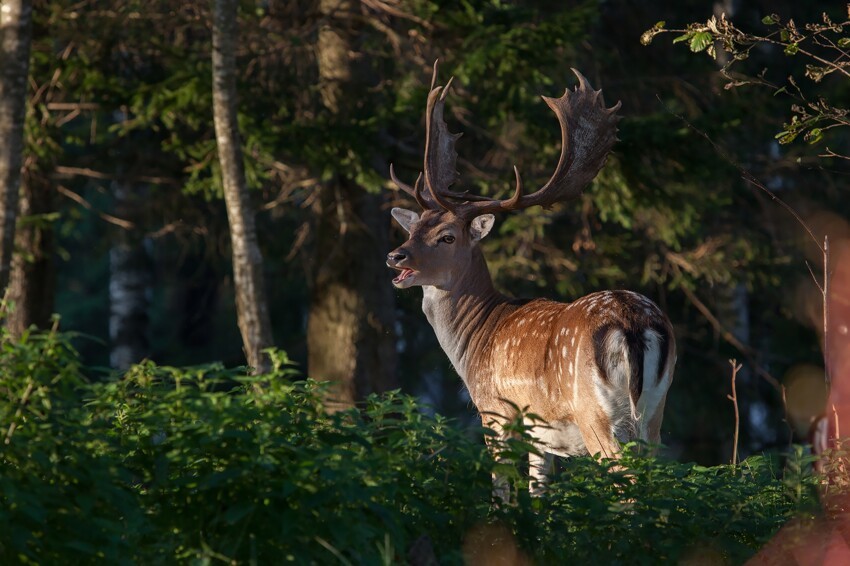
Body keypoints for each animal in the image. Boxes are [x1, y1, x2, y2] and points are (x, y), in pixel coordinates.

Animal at [386, 62, 676, 496]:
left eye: (447, 236)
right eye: (414, 227)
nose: (395, 256)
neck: (476, 338)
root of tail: (632, 322)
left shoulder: (495, 412)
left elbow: (501, 490)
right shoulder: (543, 438)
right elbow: (538, 494)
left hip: (595, 414)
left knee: (623, 482)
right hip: (656, 410)